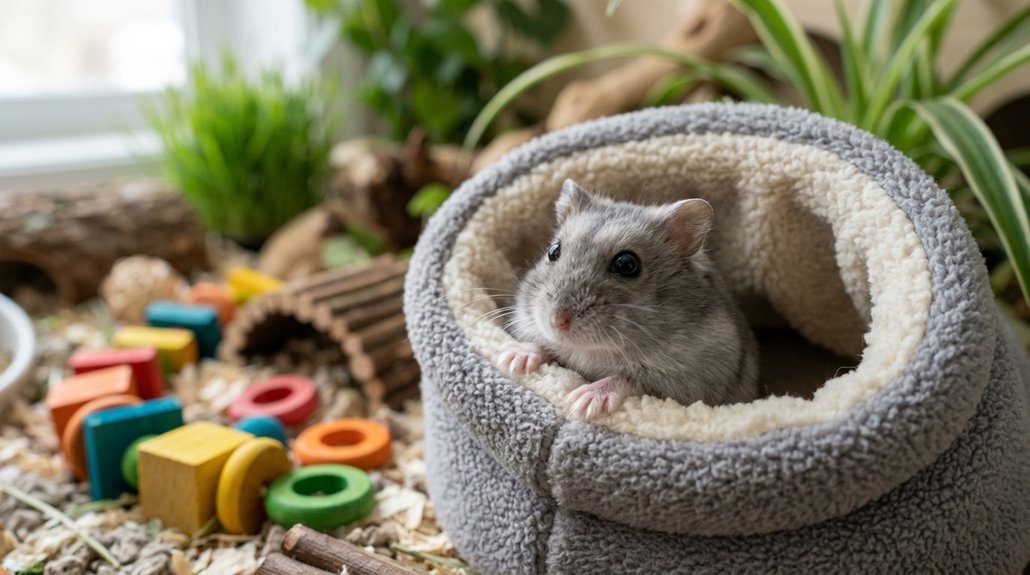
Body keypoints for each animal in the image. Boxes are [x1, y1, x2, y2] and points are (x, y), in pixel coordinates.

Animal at [498, 179, 759, 420]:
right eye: (553, 251)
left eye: (627, 264)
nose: (557, 321)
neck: (591, 350)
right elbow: (544, 346)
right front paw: (511, 358)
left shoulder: (690, 384)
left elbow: (629, 378)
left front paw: (583, 402)